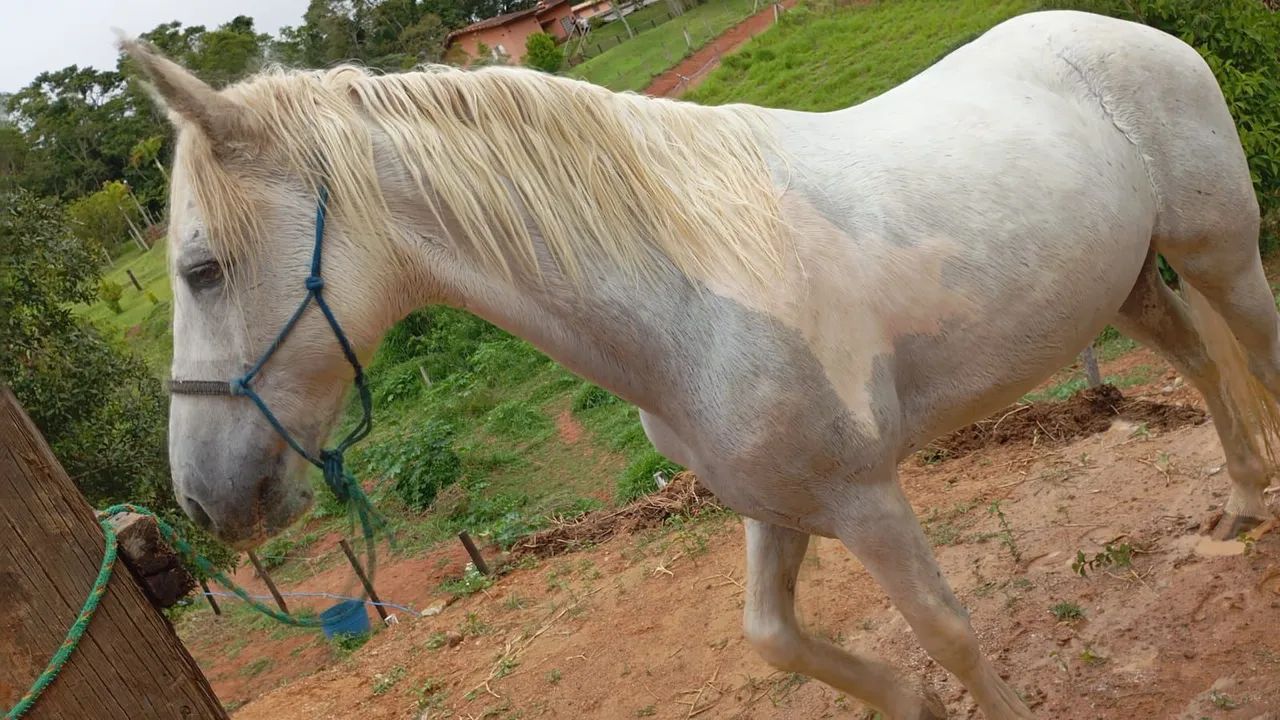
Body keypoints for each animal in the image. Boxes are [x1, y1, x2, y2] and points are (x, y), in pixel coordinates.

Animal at [123, 8, 1280, 718]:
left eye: (202, 268)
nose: (206, 501)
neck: (686, 290)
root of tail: (1122, 35)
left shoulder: (865, 498)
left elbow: (946, 629)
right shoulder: (773, 502)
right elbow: (771, 636)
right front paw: (904, 701)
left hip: (1221, 258)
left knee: (1252, 356)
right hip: (1129, 288)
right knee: (1205, 372)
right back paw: (1234, 506)